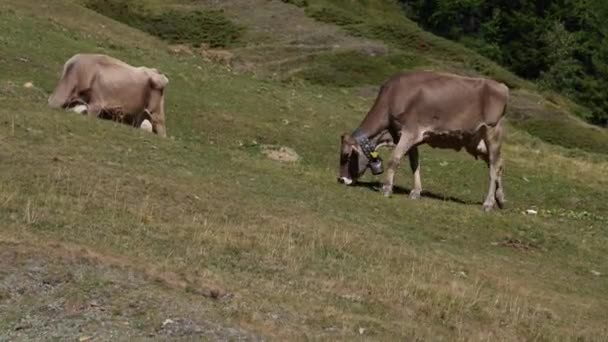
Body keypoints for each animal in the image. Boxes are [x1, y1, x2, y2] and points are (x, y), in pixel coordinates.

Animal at [340, 71, 510, 211]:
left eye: (347, 155)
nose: (341, 179)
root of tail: (500, 86)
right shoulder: (409, 136)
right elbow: (415, 163)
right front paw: (415, 192)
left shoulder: (410, 132)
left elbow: (394, 159)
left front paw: (387, 188)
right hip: (475, 142)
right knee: (498, 164)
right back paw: (501, 199)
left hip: (492, 131)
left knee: (494, 166)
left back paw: (488, 203)